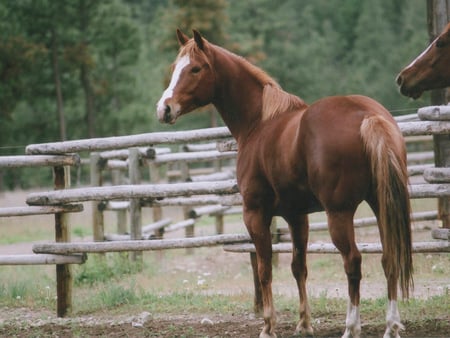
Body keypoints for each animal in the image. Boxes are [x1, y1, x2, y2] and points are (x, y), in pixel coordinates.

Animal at [156, 29, 414, 338]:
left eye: (195, 68)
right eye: (174, 67)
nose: (164, 109)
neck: (259, 123)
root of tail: (368, 115)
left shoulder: (255, 214)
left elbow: (265, 269)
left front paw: (268, 326)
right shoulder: (296, 216)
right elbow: (298, 266)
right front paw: (304, 323)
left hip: (339, 214)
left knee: (353, 261)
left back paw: (351, 327)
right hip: (380, 204)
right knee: (390, 258)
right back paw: (392, 326)